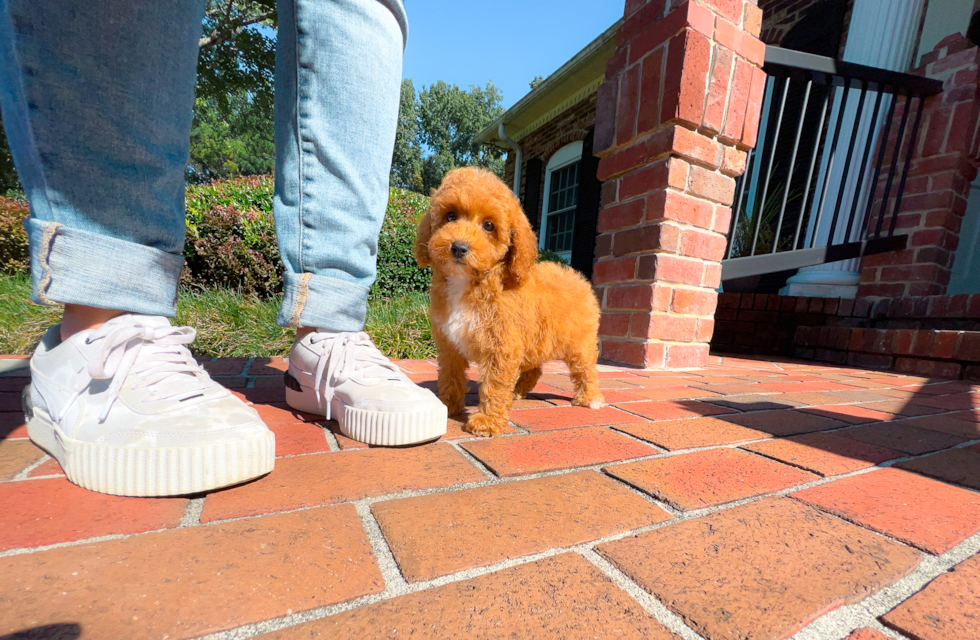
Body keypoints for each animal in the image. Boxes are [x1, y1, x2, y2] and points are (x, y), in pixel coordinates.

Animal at [410, 165, 600, 438]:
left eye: (489, 226)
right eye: (450, 216)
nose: (459, 247)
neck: (472, 282)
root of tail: (577, 277)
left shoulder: (501, 346)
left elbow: (495, 385)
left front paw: (487, 421)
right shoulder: (449, 345)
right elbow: (450, 376)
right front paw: (447, 405)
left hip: (579, 343)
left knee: (586, 370)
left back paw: (590, 398)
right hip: (537, 340)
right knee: (535, 368)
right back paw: (519, 391)